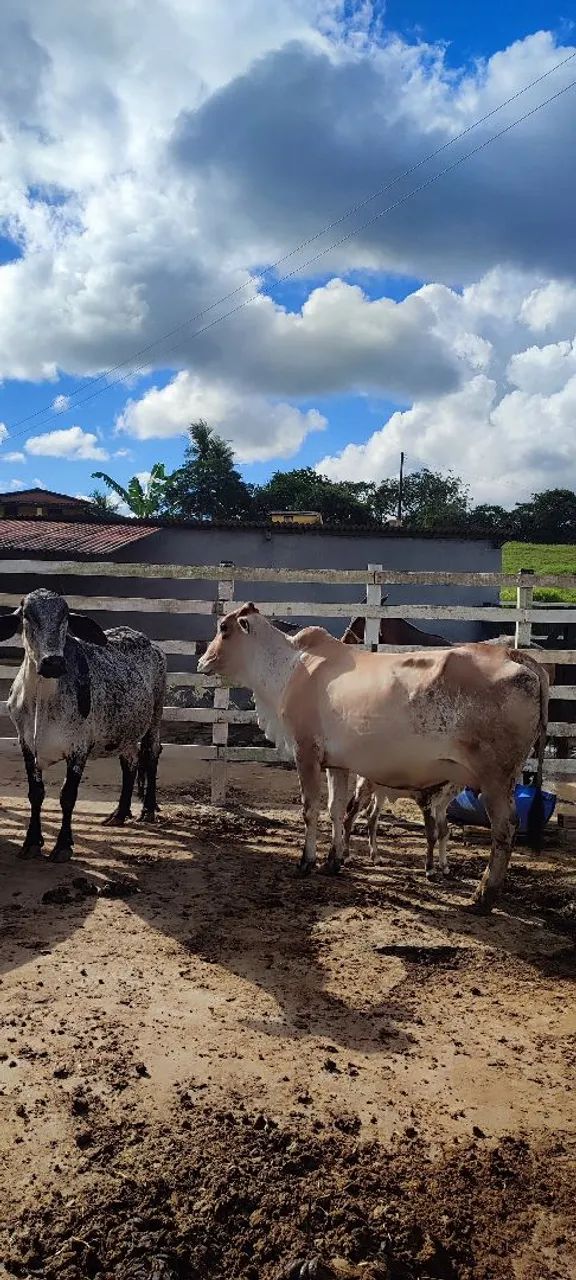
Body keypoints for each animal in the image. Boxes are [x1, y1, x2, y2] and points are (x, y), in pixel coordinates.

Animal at [0, 589, 166, 862]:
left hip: (155, 717)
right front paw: (32, 842)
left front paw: (62, 846)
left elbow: (68, 796)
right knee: (129, 763)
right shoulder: (26, 745)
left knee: (151, 755)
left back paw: (148, 810)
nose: (53, 662)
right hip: (124, 733)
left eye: (65, 616)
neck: (41, 701)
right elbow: (36, 793)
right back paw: (120, 813)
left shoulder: (78, 748)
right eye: (26, 615)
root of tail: (149, 643)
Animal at [198, 604, 549, 912]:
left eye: (223, 628)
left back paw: (482, 897)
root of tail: (515, 655)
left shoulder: (306, 752)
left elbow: (310, 810)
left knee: (504, 829)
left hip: (495, 778)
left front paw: (306, 862)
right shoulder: (337, 763)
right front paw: (333, 860)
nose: (202, 661)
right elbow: (336, 810)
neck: (288, 668)